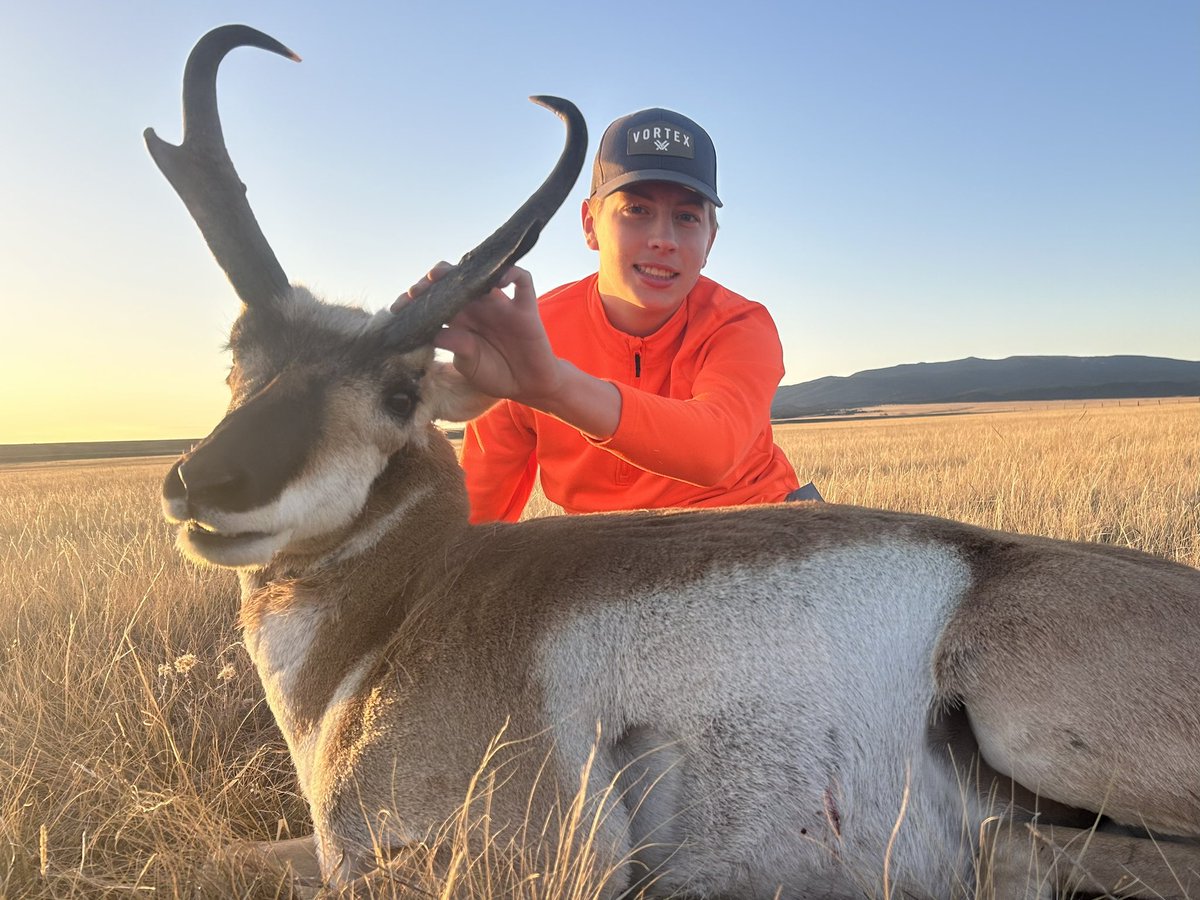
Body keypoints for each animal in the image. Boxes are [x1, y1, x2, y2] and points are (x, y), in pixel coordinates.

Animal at [149, 25, 1200, 899]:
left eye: (403, 394)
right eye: (238, 353)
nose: (202, 485)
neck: (411, 601)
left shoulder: (524, 859)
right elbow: (215, 853)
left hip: (1023, 717)